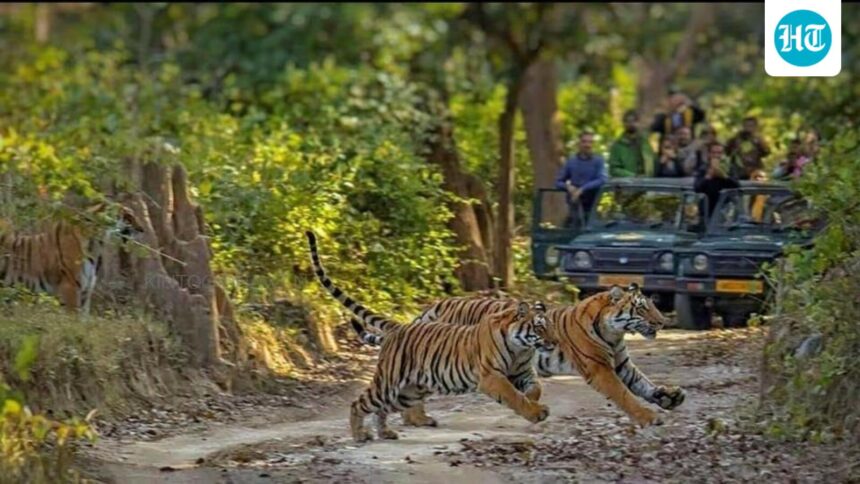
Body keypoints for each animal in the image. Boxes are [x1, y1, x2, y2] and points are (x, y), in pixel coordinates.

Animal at [305, 231, 555, 440]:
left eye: (550, 326)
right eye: (540, 327)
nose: (554, 342)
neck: (521, 347)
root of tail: (399, 327)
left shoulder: (522, 371)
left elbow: (536, 388)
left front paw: (533, 401)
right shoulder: (492, 376)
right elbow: (513, 395)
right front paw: (535, 411)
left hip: (410, 390)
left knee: (385, 409)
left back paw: (388, 432)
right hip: (388, 383)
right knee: (360, 403)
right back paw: (360, 435)